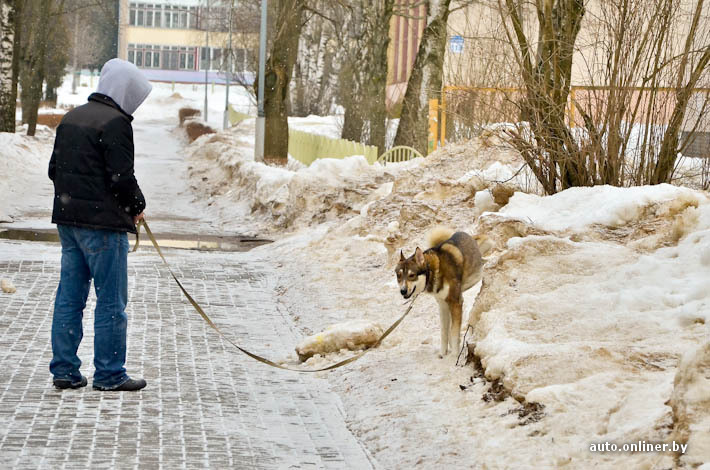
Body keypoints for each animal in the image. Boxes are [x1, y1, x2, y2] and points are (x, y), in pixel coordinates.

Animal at [394, 228, 484, 356]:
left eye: (412, 275)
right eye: (399, 276)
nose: (403, 291)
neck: (434, 271)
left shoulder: (456, 302)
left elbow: (454, 332)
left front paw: (454, 356)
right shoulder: (442, 304)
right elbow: (444, 332)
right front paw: (443, 354)